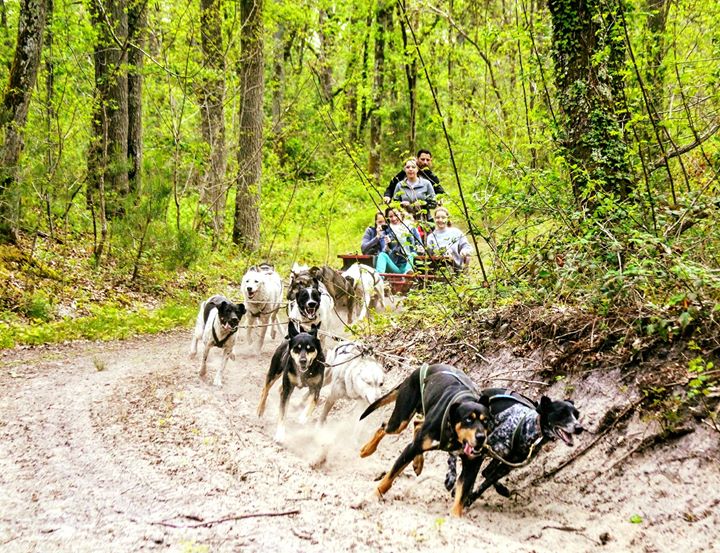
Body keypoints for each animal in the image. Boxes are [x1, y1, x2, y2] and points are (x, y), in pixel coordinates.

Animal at [358, 364, 490, 516]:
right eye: (468, 419)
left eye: (486, 421)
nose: (481, 438)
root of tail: (419, 369)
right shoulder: (410, 449)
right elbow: (389, 477)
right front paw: (374, 495)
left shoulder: (472, 465)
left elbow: (461, 494)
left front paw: (455, 516)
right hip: (400, 421)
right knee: (384, 427)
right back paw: (367, 449)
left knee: (416, 424)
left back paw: (418, 462)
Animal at [444, 388, 584, 504]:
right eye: (562, 413)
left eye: (577, 414)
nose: (579, 428)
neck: (530, 428)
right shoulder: (482, 450)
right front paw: (464, 494)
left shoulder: (507, 466)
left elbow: (486, 481)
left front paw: (471, 496)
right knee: (454, 454)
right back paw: (451, 477)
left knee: (486, 471)